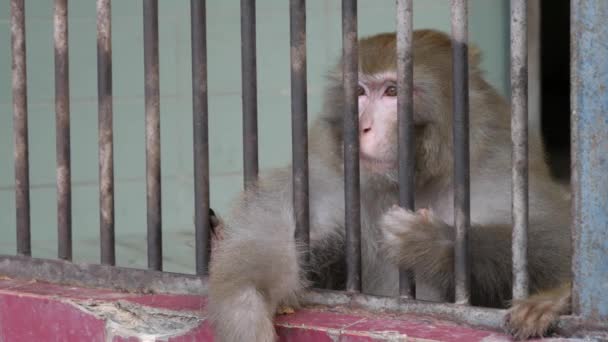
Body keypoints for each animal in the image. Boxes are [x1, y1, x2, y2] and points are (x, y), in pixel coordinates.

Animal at [207, 30, 572, 342]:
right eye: (359, 92)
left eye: (393, 92)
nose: (362, 128)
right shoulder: (329, 172)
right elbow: (273, 233)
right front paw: (245, 311)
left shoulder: (499, 166)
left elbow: (555, 246)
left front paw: (433, 242)